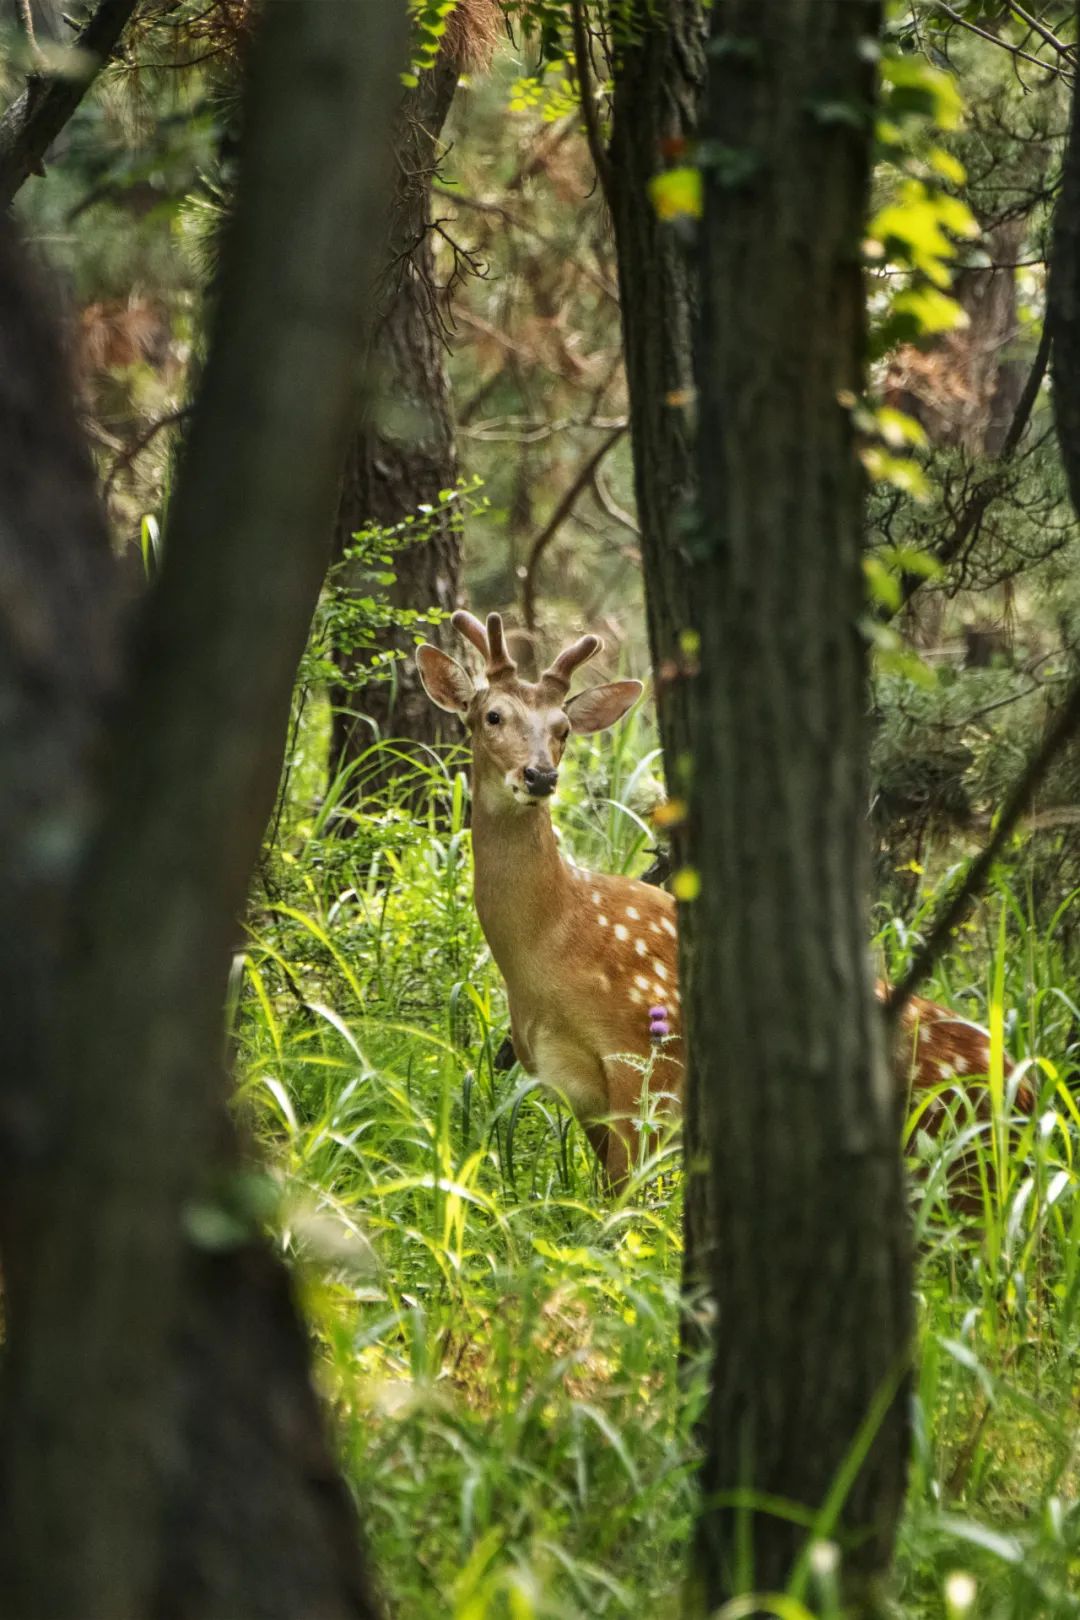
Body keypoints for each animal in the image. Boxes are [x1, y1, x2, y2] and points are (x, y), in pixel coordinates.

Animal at [414, 612, 1029, 1185]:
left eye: (563, 728)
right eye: (492, 716)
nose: (540, 775)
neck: (552, 946)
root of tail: (1029, 1094)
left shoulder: (648, 1062)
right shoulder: (575, 1088)